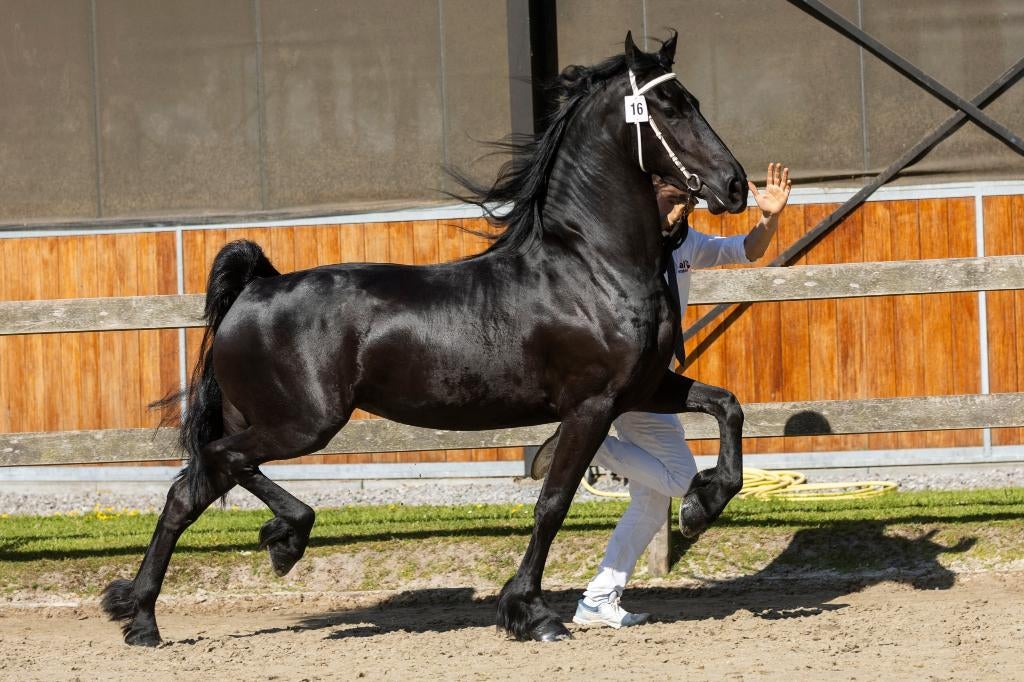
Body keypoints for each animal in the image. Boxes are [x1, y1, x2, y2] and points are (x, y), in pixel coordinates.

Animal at [101, 31, 748, 645]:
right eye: (669, 107)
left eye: (692, 100)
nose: (736, 185)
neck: (589, 267)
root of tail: (255, 288)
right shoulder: (592, 405)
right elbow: (553, 503)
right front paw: (529, 613)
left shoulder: (643, 388)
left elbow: (727, 405)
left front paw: (700, 503)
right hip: (304, 423)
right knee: (213, 468)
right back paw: (253, 557)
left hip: (264, 419)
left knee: (194, 488)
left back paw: (160, 608)